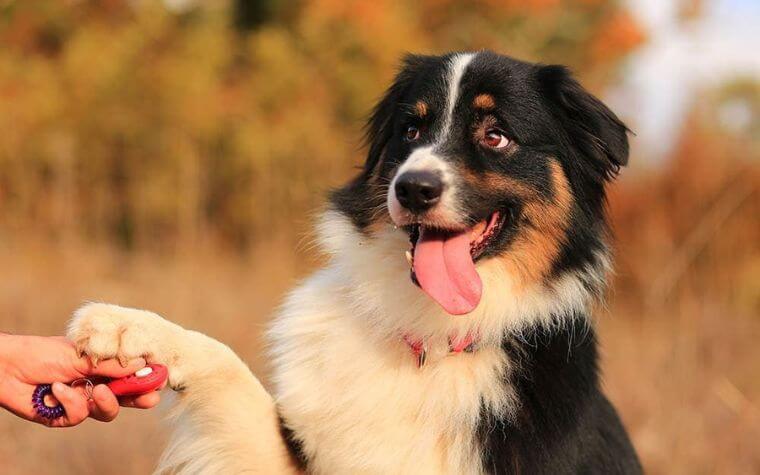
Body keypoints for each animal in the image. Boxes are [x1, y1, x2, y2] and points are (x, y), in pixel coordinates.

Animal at [68, 50, 644, 474]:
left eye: (495, 134)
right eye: (410, 131)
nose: (412, 188)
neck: (433, 341)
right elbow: (226, 363)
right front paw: (126, 326)